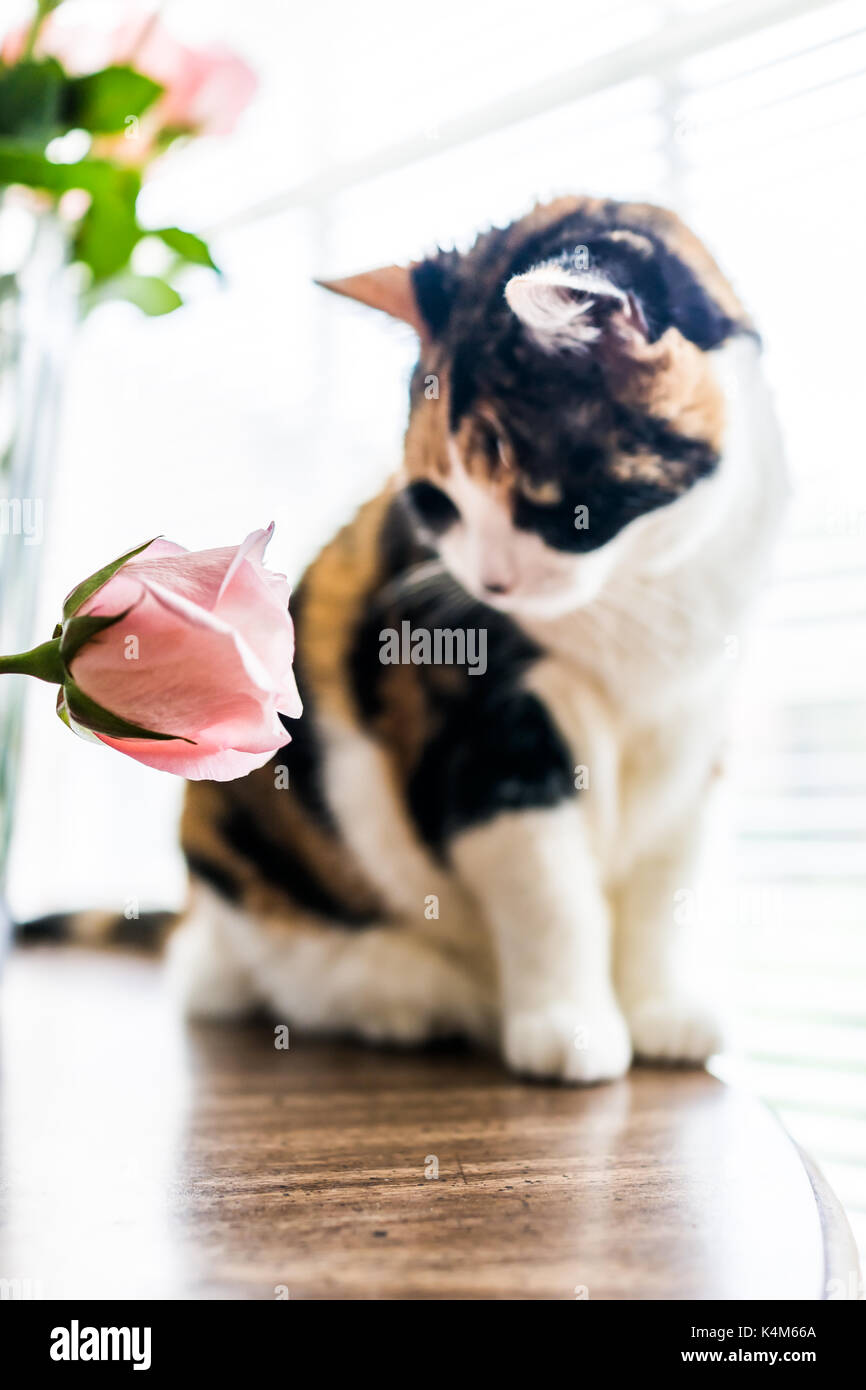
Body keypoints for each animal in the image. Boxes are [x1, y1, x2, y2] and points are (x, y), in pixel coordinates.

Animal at [173, 195, 789, 1084]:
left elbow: (665, 890)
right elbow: (550, 895)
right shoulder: (482, 734)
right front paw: (569, 1031)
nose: (490, 586)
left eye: (547, 503)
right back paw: (412, 999)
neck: (642, 601)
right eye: (435, 501)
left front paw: (661, 1012)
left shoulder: (695, 733)